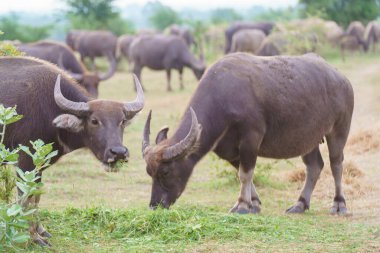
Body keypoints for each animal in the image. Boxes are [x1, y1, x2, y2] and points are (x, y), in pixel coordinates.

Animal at [0, 55, 145, 245]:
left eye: (121, 121)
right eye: (94, 121)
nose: (118, 153)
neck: (49, 109)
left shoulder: (40, 164)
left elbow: (37, 195)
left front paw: (41, 231)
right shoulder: (25, 162)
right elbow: (26, 197)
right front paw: (31, 237)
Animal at [142, 52, 354, 216]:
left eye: (165, 171)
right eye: (149, 172)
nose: (155, 206)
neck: (223, 97)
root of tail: (342, 79)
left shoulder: (251, 139)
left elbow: (245, 173)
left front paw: (243, 205)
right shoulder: (229, 150)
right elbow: (243, 173)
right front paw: (254, 203)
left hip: (339, 130)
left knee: (336, 164)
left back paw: (339, 204)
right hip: (307, 139)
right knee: (315, 166)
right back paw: (300, 204)